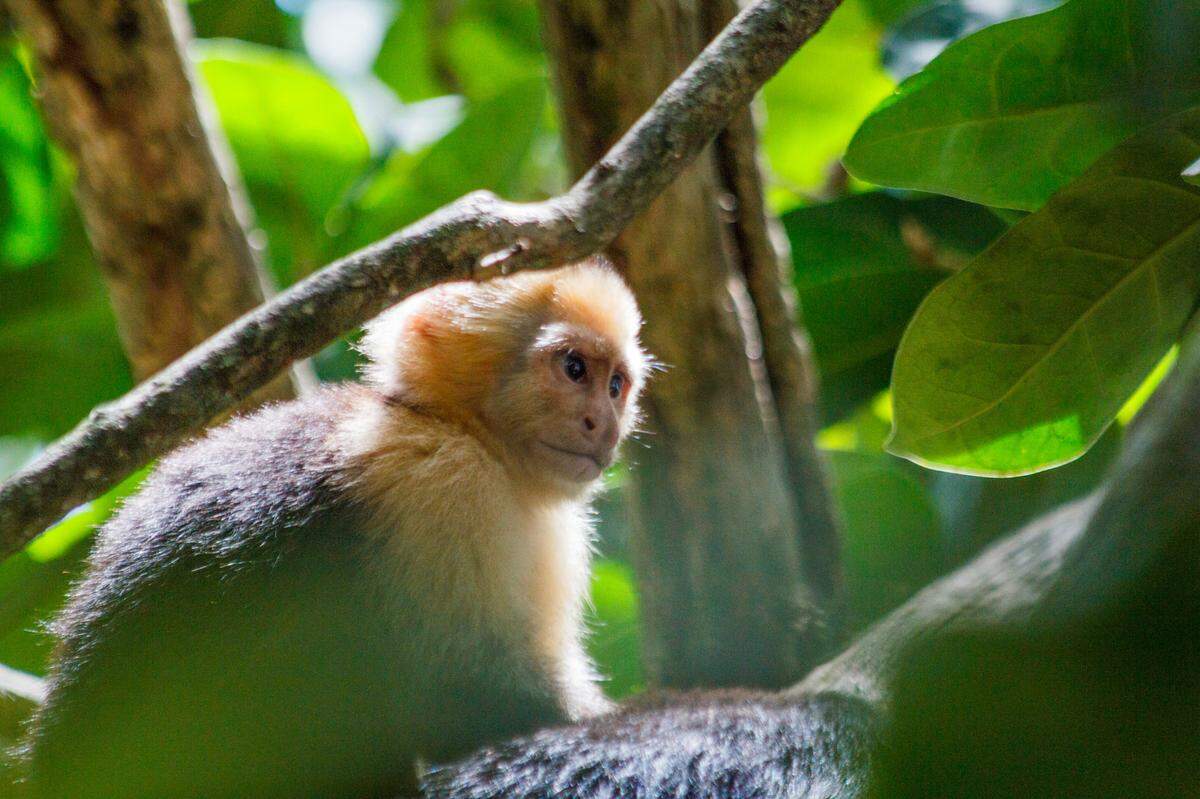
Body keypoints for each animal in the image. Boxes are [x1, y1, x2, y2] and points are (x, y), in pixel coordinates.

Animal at [18, 260, 649, 799]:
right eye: (574, 369)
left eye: (616, 385)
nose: (603, 423)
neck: (455, 428)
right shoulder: (442, 483)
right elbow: (464, 693)